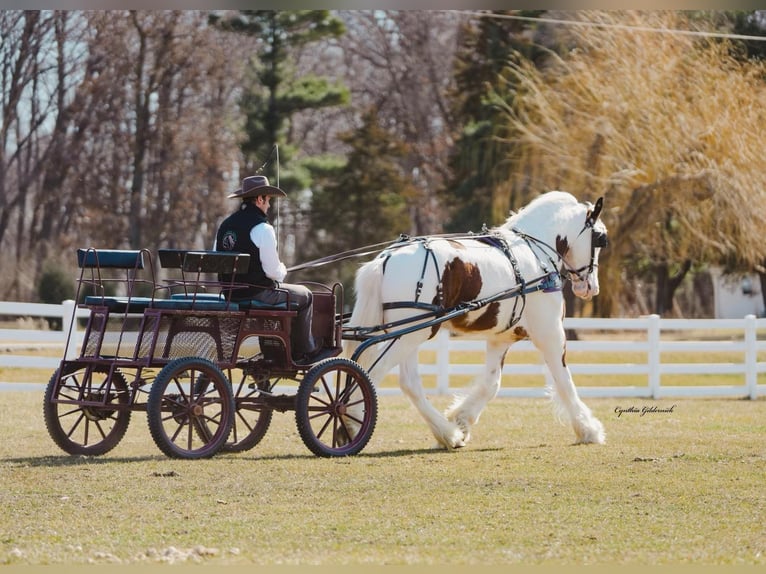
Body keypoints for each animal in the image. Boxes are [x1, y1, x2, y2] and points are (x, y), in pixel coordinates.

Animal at [344, 191, 608, 452]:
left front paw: (461, 420)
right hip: (411, 334)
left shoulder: (501, 338)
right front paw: (588, 429)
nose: (591, 287)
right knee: (372, 373)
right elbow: (565, 381)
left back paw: (448, 434)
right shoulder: (550, 334)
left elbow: (491, 384)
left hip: (408, 335)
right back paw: (352, 421)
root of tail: (384, 259)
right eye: (600, 239)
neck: (534, 253)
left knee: (409, 382)